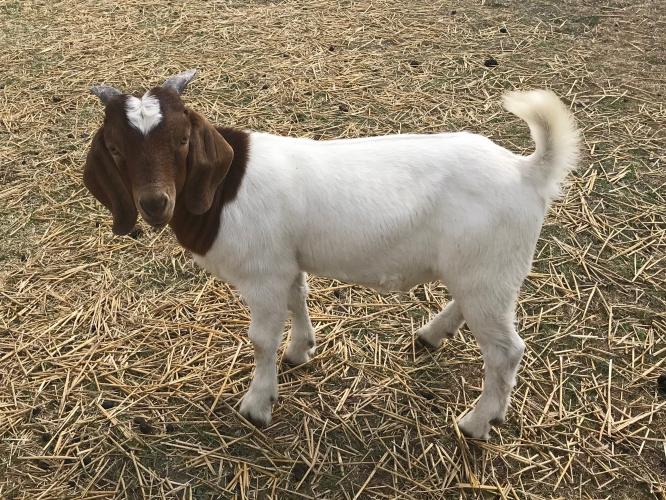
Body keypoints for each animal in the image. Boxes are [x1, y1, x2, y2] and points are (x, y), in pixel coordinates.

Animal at [84, 70, 580, 439]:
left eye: (183, 139)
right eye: (115, 147)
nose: (154, 204)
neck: (225, 189)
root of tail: (526, 171)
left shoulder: (262, 273)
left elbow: (261, 338)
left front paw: (257, 404)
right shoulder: (285, 262)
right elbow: (298, 297)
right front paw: (300, 349)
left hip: (489, 270)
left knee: (506, 351)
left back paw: (477, 422)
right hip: (479, 269)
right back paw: (432, 334)